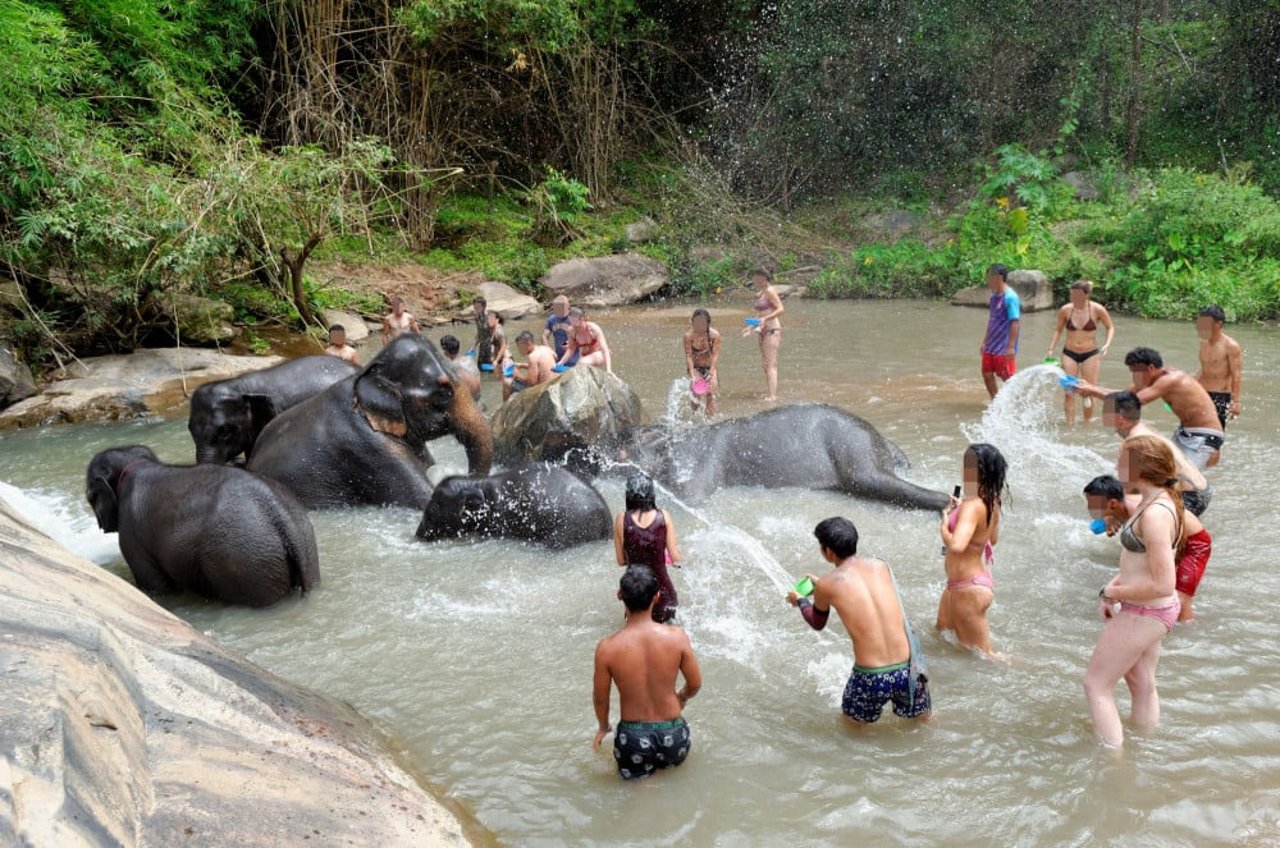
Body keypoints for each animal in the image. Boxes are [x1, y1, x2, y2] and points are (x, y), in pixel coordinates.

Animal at [87, 445, 320, 612]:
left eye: (91, 497)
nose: (99, 523)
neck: (135, 463)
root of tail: (277, 512)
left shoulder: (132, 536)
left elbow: (157, 587)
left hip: (244, 558)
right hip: (302, 542)